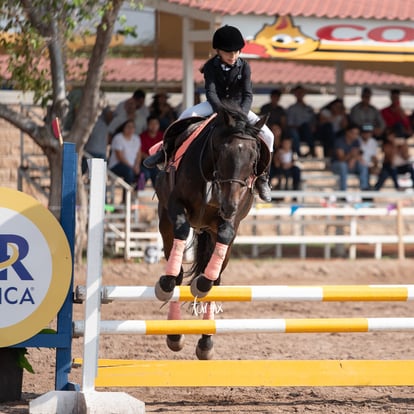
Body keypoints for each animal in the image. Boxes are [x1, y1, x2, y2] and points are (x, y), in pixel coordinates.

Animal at [154, 102, 266, 360]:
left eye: (254, 158)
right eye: (222, 152)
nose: (229, 206)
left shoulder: (230, 221)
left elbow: (225, 237)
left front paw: (203, 283)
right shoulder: (175, 205)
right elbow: (181, 230)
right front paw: (167, 282)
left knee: (216, 281)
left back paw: (205, 342)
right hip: (165, 222)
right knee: (177, 274)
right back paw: (174, 332)